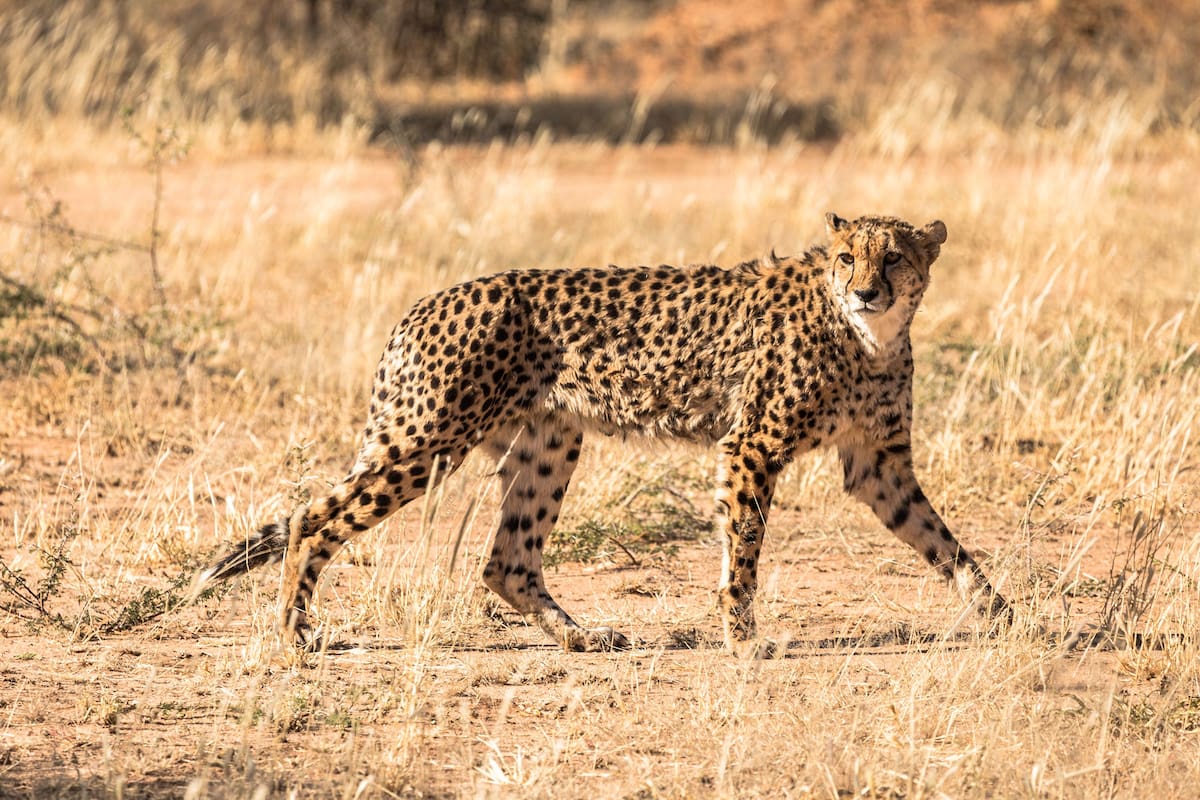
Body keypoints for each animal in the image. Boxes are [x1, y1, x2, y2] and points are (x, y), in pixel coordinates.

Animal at [194, 212, 1010, 653]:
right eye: (846, 258)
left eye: (894, 257)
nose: (867, 290)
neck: (869, 337)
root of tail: (426, 302)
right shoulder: (751, 447)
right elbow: (743, 549)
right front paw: (743, 637)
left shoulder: (879, 464)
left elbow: (943, 541)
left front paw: (1002, 613)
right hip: (429, 441)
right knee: (311, 517)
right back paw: (296, 633)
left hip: (550, 442)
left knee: (506, 560)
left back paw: (581, 637)